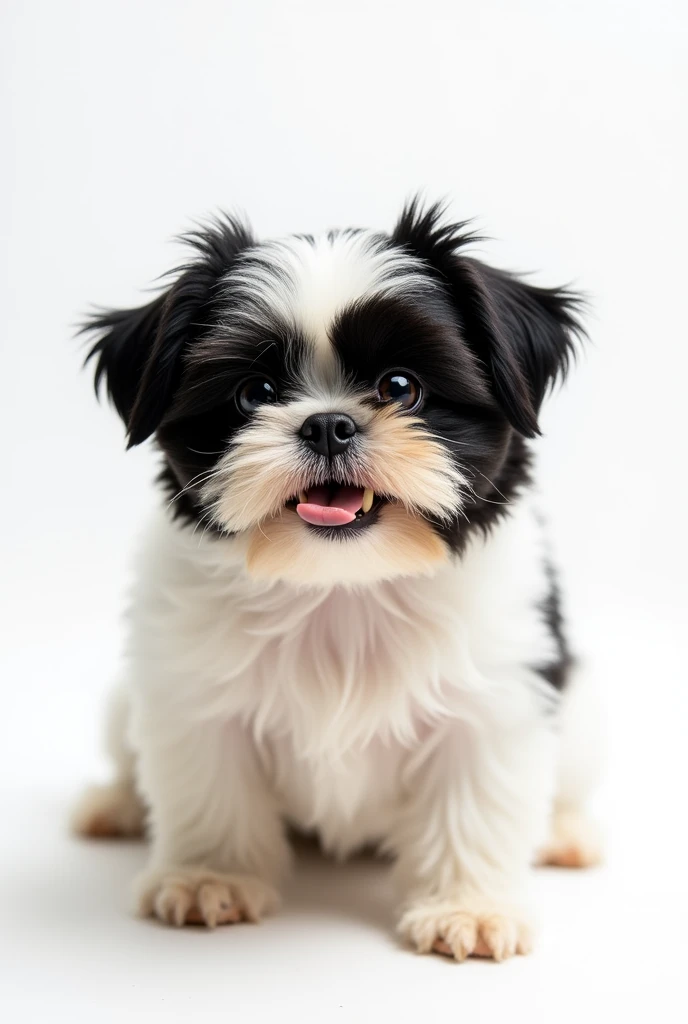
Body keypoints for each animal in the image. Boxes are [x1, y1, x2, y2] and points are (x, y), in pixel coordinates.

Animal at [72, 197, 602, 958]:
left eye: (401, 387)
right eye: (254, 392)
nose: (328, 423)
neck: (340, 585)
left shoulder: (499, 696)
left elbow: (476, 801)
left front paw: (468, 905)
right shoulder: (190, 694)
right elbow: (209, 788)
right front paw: (212, 876)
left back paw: (563, 832)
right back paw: (115, 804)